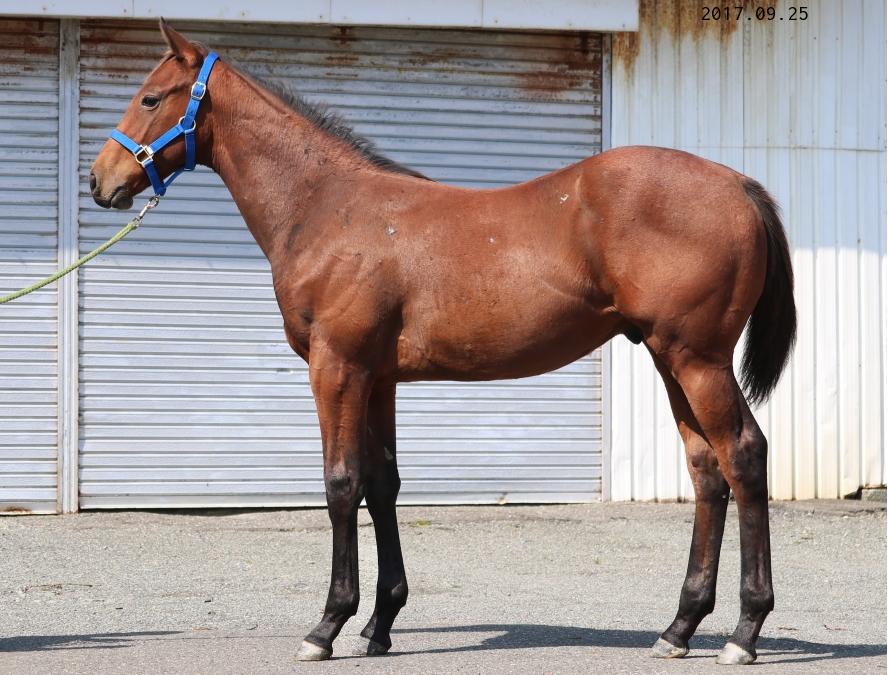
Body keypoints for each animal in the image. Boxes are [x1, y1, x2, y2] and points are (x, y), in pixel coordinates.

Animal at [89, 20, 796, 666]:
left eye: (151, 98)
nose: (101, 182)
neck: (328, 209)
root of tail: (739, 185)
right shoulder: (378, 379)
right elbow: (383, 484)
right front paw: (379, 625)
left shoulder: (336, 368)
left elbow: (341, 484)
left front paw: (328, 626)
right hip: (669, 358)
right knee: (706, 470)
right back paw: (679, 627)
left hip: (697, 359)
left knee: (743, 455)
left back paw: (743, 631)